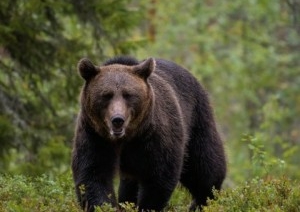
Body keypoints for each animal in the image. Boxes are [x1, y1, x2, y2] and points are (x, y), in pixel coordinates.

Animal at [72, 56, 225, 212]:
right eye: (106, 95)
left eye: (128, 94)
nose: (117, 120)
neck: (127, 137)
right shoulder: (95, 135)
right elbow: (93, 174)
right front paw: (106, 206)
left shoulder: (154, 135)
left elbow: (159, 176)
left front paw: (147, 206)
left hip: (196, 119)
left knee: (204, 166)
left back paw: (203, 201)